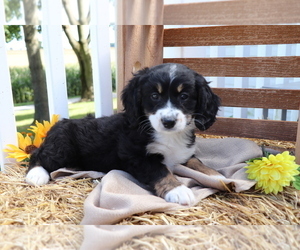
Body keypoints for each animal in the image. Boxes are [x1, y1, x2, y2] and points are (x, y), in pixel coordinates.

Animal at [26, 63, 220, 205]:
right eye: (154, 96)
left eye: (184, 96)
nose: (168, 122)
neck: (168, 135)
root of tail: (58, 123)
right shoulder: (135, 156)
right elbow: (160, 170)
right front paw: (177, 190)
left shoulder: (184, 153)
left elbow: (197, 162)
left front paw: (216, 176)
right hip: (62, 148)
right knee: (37, 155)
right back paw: (36, 175)